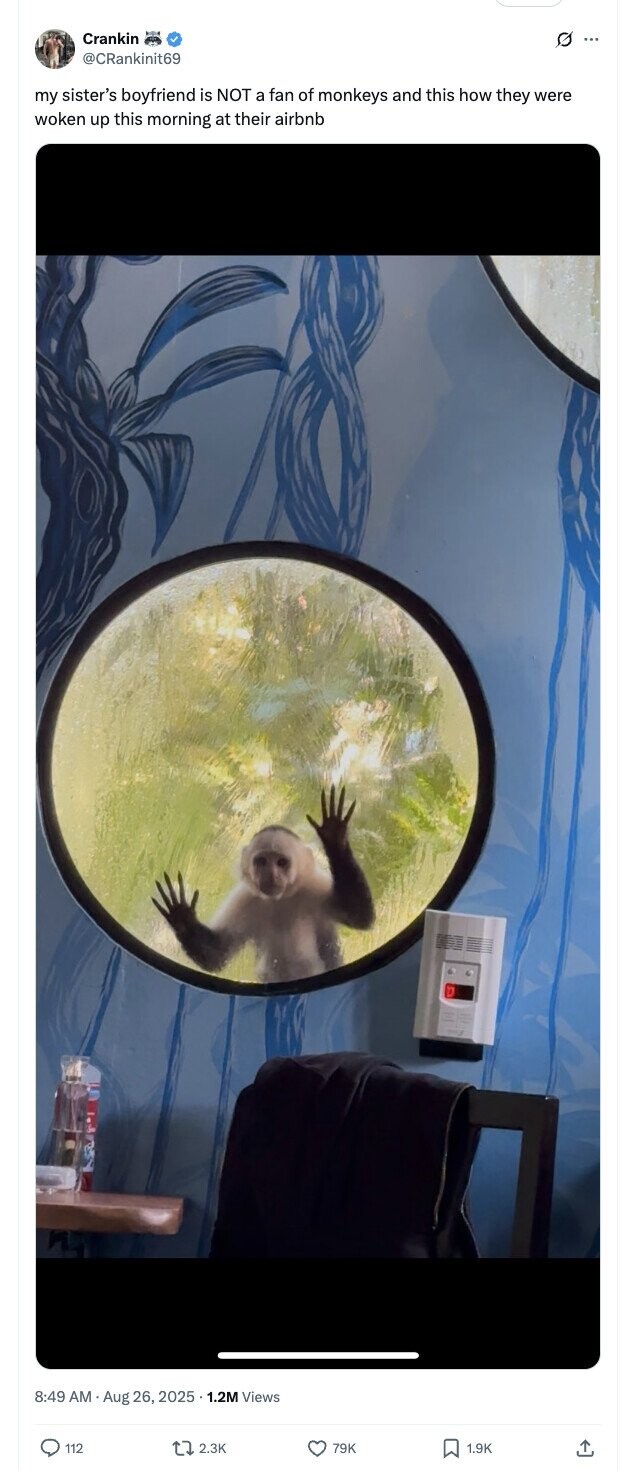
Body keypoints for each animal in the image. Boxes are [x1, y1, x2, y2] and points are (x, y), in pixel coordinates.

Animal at [152, 785, 374, 986]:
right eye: (261, 861)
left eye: (282, 863)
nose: (271, 875)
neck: (280, 899)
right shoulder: (245, 899)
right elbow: (218, 954)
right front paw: (182, 917)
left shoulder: (313, 886)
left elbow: (359, 915)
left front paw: (334, 838)